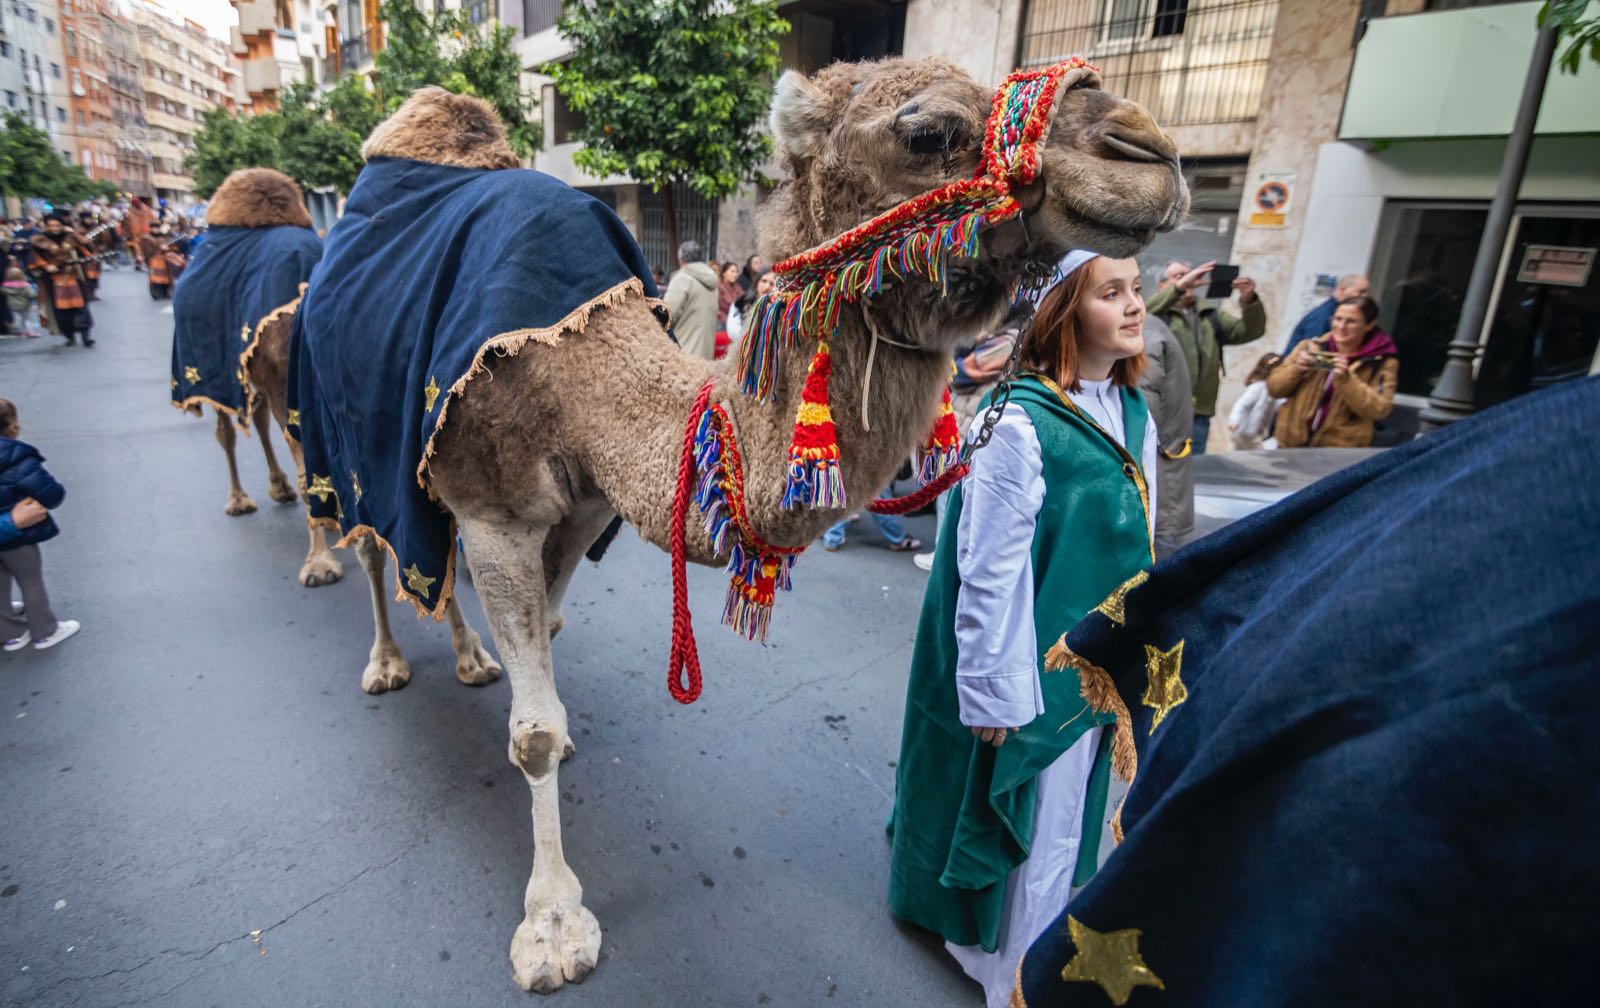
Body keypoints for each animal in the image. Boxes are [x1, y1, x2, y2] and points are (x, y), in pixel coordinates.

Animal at [169, 169, 344, 588]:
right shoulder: (289, 391)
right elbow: (310, 476)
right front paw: (319, 564)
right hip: (212, 372)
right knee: (226, 432)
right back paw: (238, 500)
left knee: (259, 420)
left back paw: (278, 487)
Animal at [288, 59, 1190, 998]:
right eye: (928, 133)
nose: (1147, 153)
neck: (587, 369)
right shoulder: (497, 509)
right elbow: (530, 733)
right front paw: (554, 926)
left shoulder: (583, 506)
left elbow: (554, 635)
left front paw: (546, 724)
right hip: (337, 429)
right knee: (369, 544)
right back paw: (384, 660)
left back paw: (469, 658)